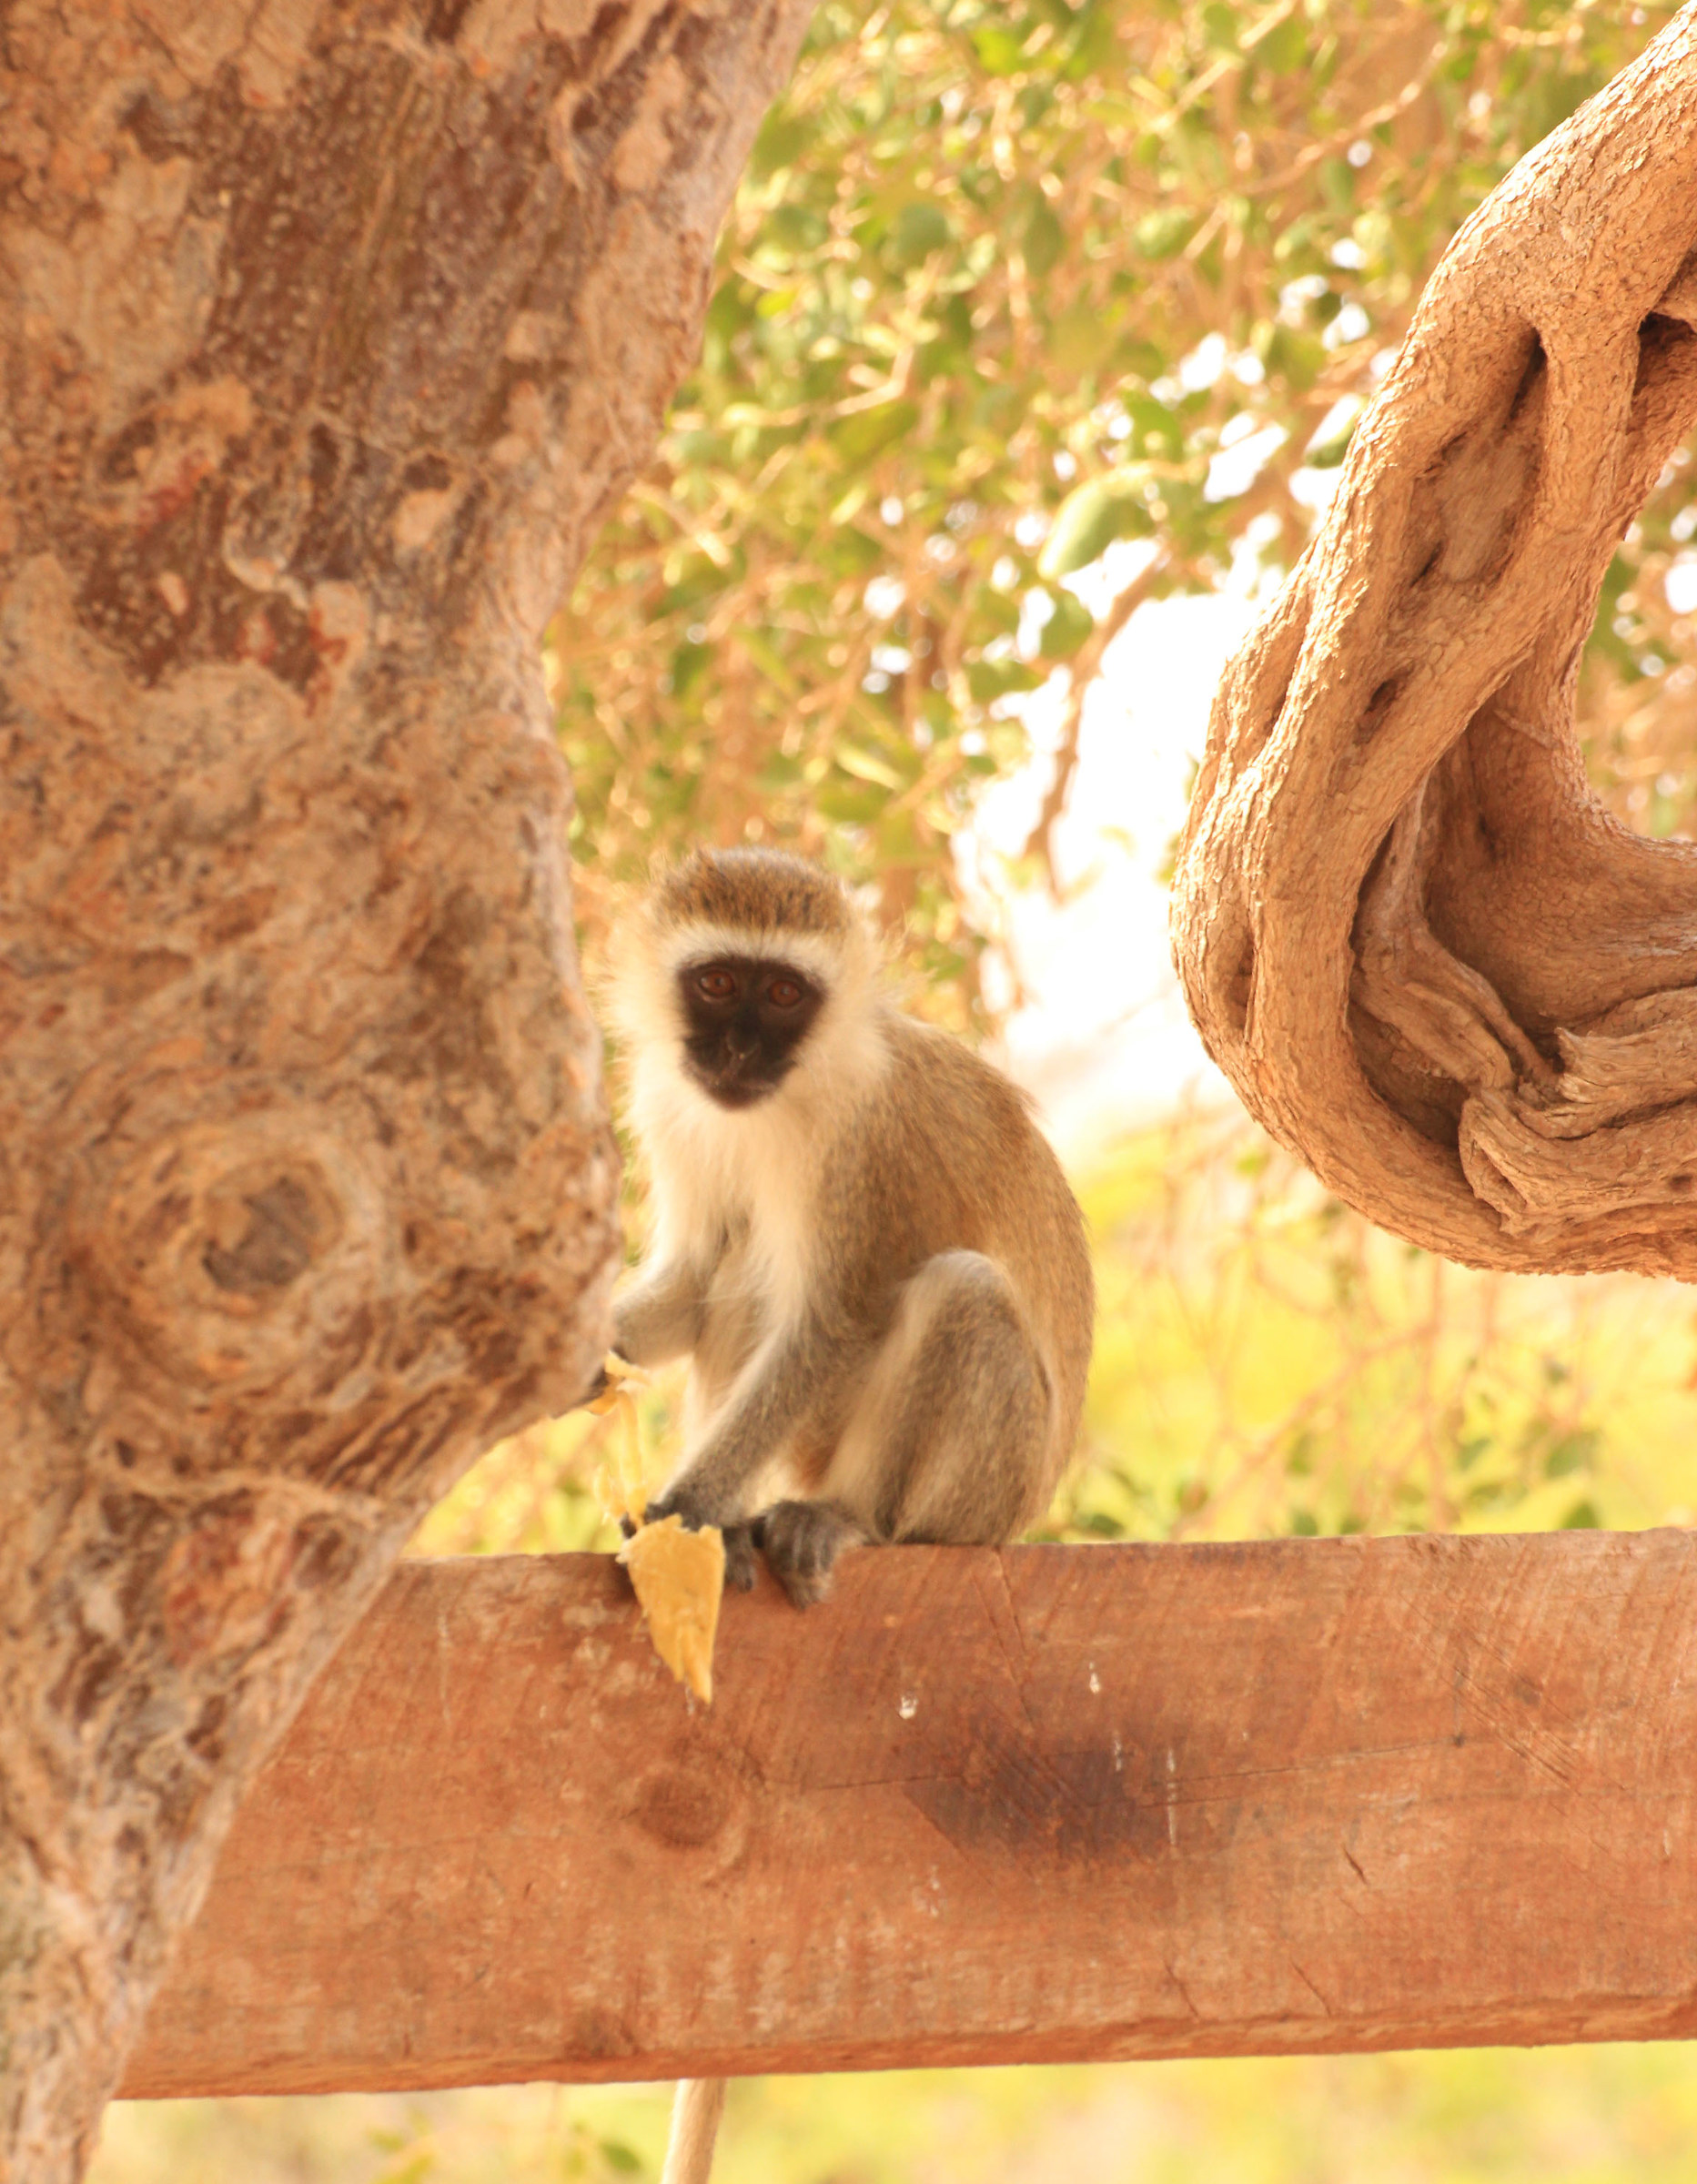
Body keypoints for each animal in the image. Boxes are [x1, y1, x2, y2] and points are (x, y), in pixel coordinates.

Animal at [595, 847, 1095, 2184]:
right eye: (715, 983)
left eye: (783, 994)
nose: (731, 1051)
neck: (779, 1105)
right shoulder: (681, 1116)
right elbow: (683, 1288)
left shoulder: (865, 1153)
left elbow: (835, 1319)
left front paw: (684, 1514)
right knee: (732, 1283)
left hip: (975, 1492)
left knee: (960, 1297)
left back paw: (837, 1525)